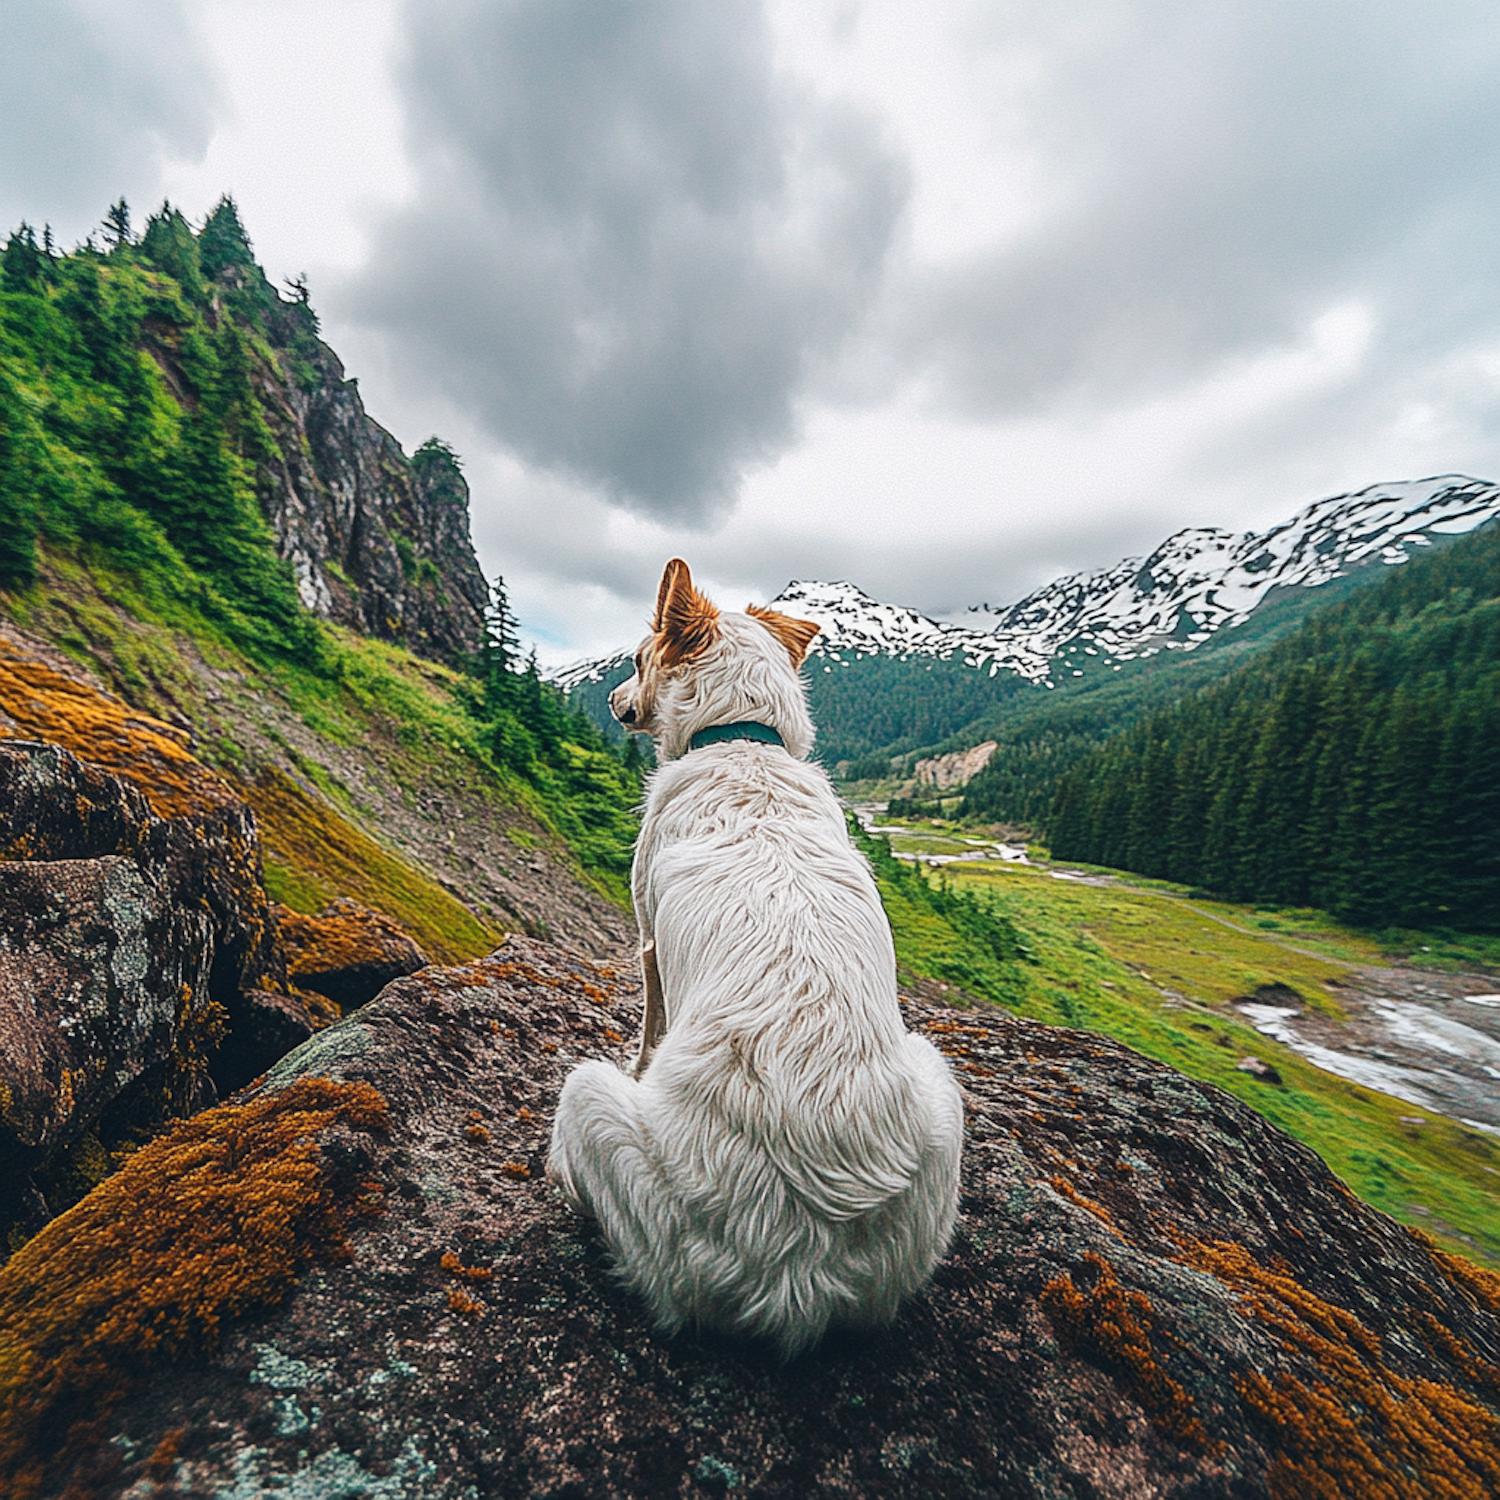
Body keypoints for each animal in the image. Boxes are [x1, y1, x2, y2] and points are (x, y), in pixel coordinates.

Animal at [549, 561, 960, 1362]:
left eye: (636, 658)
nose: (610, 699)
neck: (742, 738)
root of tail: (797, 1271)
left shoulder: (647, 940)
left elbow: (647, 1027)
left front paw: (639, 1055)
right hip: (939, 1086)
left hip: (587, 1099)